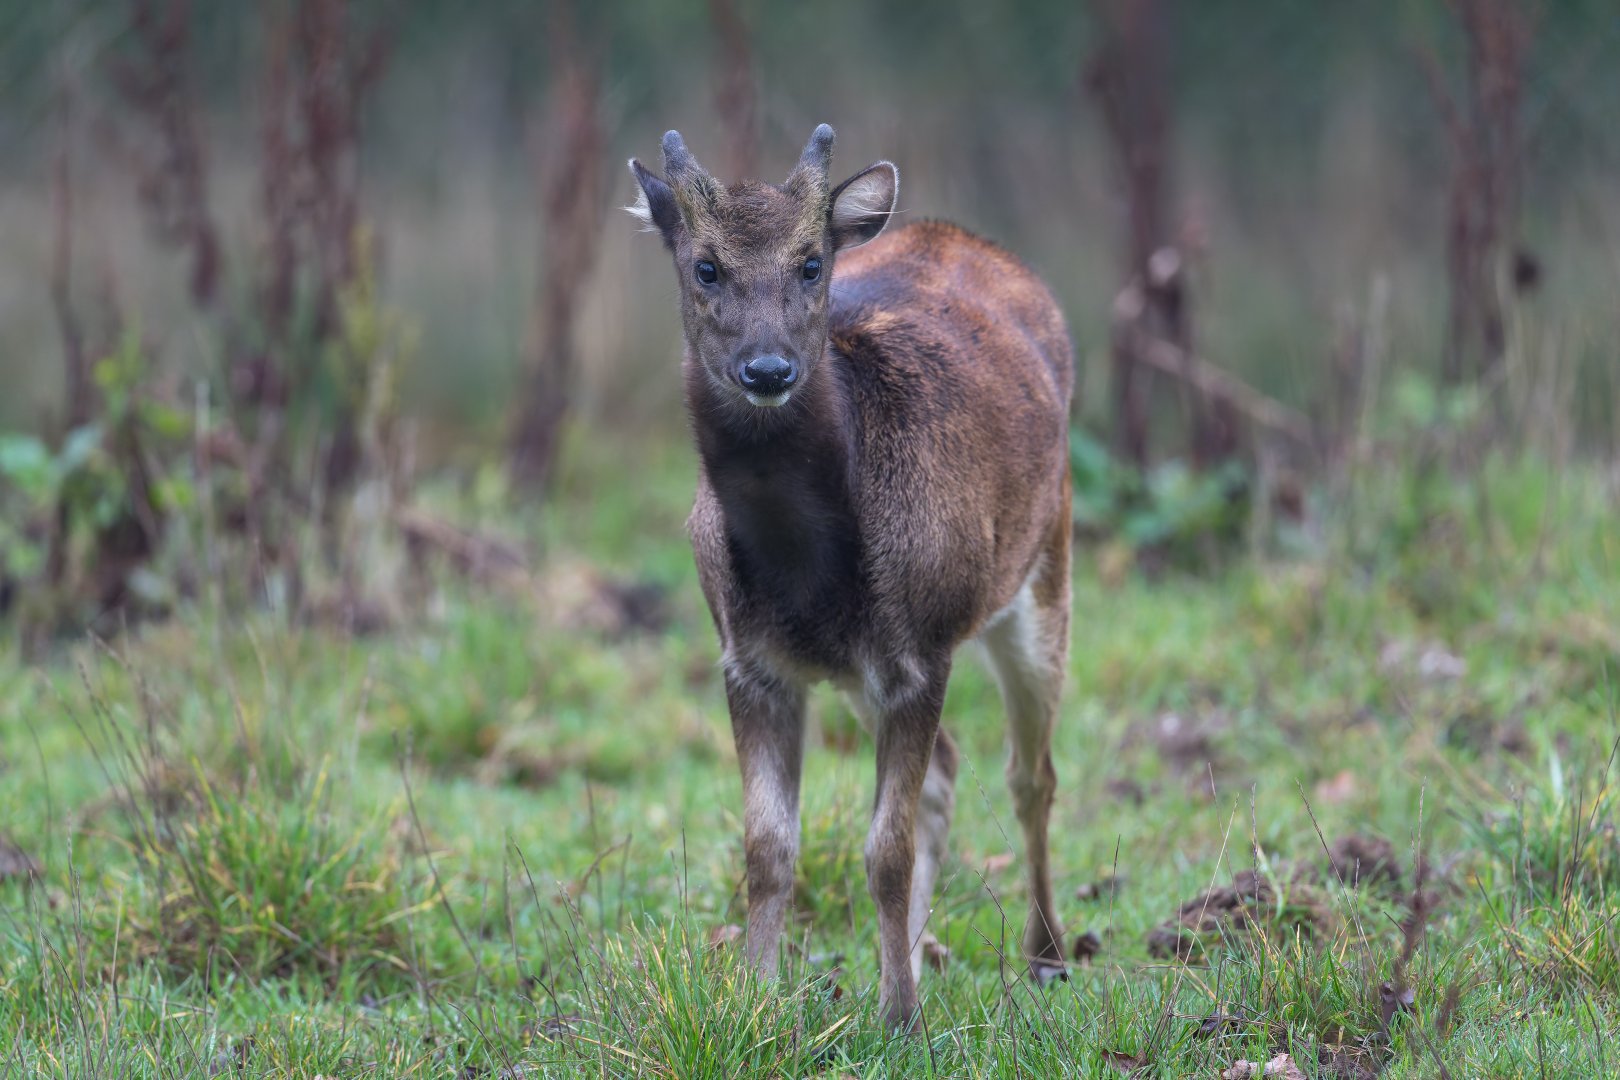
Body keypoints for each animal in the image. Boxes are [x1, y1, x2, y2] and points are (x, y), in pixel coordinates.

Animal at [627, 124, 1074, 1030]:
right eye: (705, 266)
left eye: (809, 264)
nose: (768, 369)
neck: (806, 572)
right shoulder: (750, 659)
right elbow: (769, 847)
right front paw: (755, 1003)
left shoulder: (922, 651)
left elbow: (885, 850)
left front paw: (899, 1022)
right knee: (949, 770)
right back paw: (919, 953)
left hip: (1043, 567)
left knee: (1031, 774)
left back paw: (1045, 956)